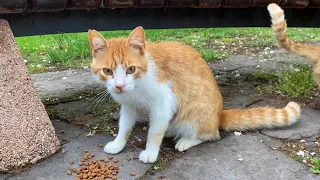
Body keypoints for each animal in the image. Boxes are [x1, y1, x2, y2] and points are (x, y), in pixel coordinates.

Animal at [87, 26, 300, 163]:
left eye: (131, 69)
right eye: (107, 71)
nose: (119, 86)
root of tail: (219, 115)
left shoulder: (163, 104)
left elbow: (154, 133)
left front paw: (150, 152)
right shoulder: (129, 106)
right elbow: (124, 127)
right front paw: (118, 144)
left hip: (194, 114)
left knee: (211, 135)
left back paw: (186, 140)